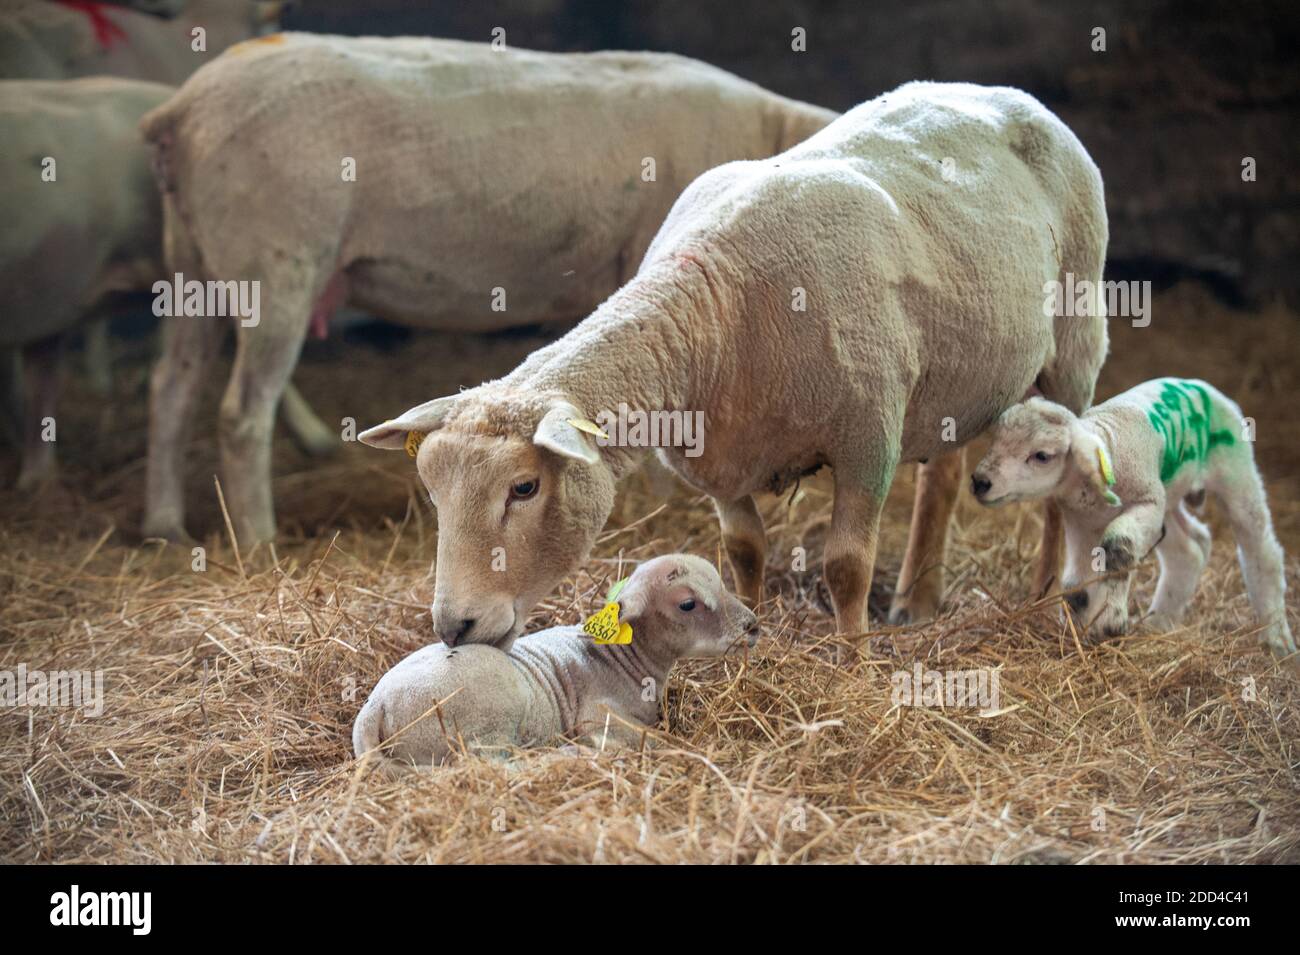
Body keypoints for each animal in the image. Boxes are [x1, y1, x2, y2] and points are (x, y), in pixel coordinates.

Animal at [135, 31, 838, 544]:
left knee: (171, 387)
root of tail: (179, 113)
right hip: (275, 261)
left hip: (191, 261)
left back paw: (163, 525)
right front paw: (661, 508)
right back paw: (259, 542)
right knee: (239, 414)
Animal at [352, 554, 759, 769]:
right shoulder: (595, 714)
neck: (623, 656)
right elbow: (650, 739)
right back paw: (563, 753)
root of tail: (375, 706)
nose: (753, 626)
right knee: (492, 762)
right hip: (487, 720)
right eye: (687, 604)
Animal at [358, 81, 1109, 645]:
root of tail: (996, 91)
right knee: (944, 475)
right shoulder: (717, 462)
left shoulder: (867, 439)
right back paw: (916, 602)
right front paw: (750, 632)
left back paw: (1046, 594)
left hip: (1075, 338)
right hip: (950, 372)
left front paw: (853, 660)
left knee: (1061, 470)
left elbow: (845, 565)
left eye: (524, 487)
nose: (454, 627)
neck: (715, 302)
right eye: (433, 492)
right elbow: (744, 551)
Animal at [971, 379, 1296, 664]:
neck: (1109, 444)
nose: (980, 481)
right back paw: (1159, 622)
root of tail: (1202, 385)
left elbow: (1117, 546)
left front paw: (1111, 622)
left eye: (1041, 455)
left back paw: (1276, 637)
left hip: (1233, 471)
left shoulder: (1145, 501)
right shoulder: (1081, 520)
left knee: (1261, 550)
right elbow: (1076, 586)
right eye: (995, 440)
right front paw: (1079, 632)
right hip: (1168, 497)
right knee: (1188, 552)